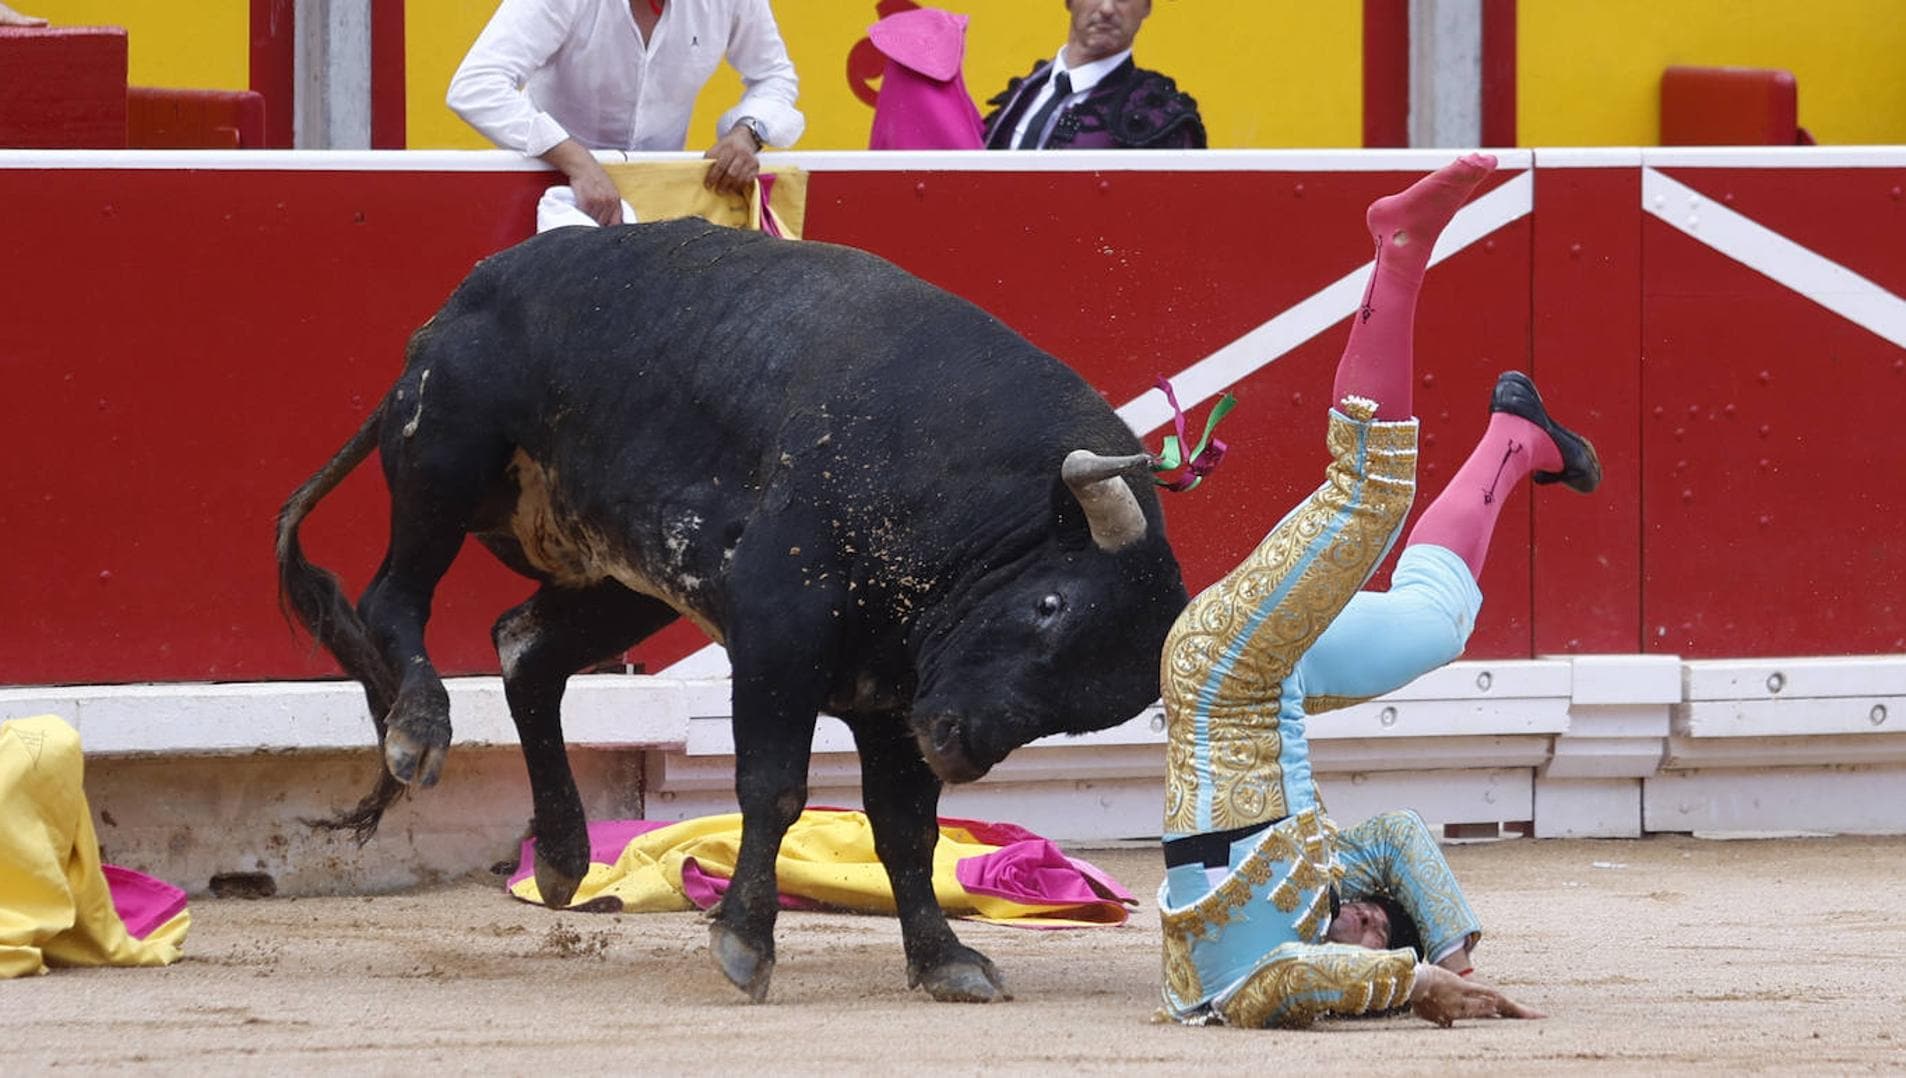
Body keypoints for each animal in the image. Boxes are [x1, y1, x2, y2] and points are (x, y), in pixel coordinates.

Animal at [276, 221, 1181, 1005]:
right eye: (1050, 605)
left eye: (1080, 713)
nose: (958, 748)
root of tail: (454, 305)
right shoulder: (779, 631)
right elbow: (774, 789)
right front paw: (746, 942)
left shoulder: (898, 698)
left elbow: (905, 830)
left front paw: (944, 961)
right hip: (446, 458)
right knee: (395, 599)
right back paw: (418, 730)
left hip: (625, 583)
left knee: (525, 649)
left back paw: (564, 858)